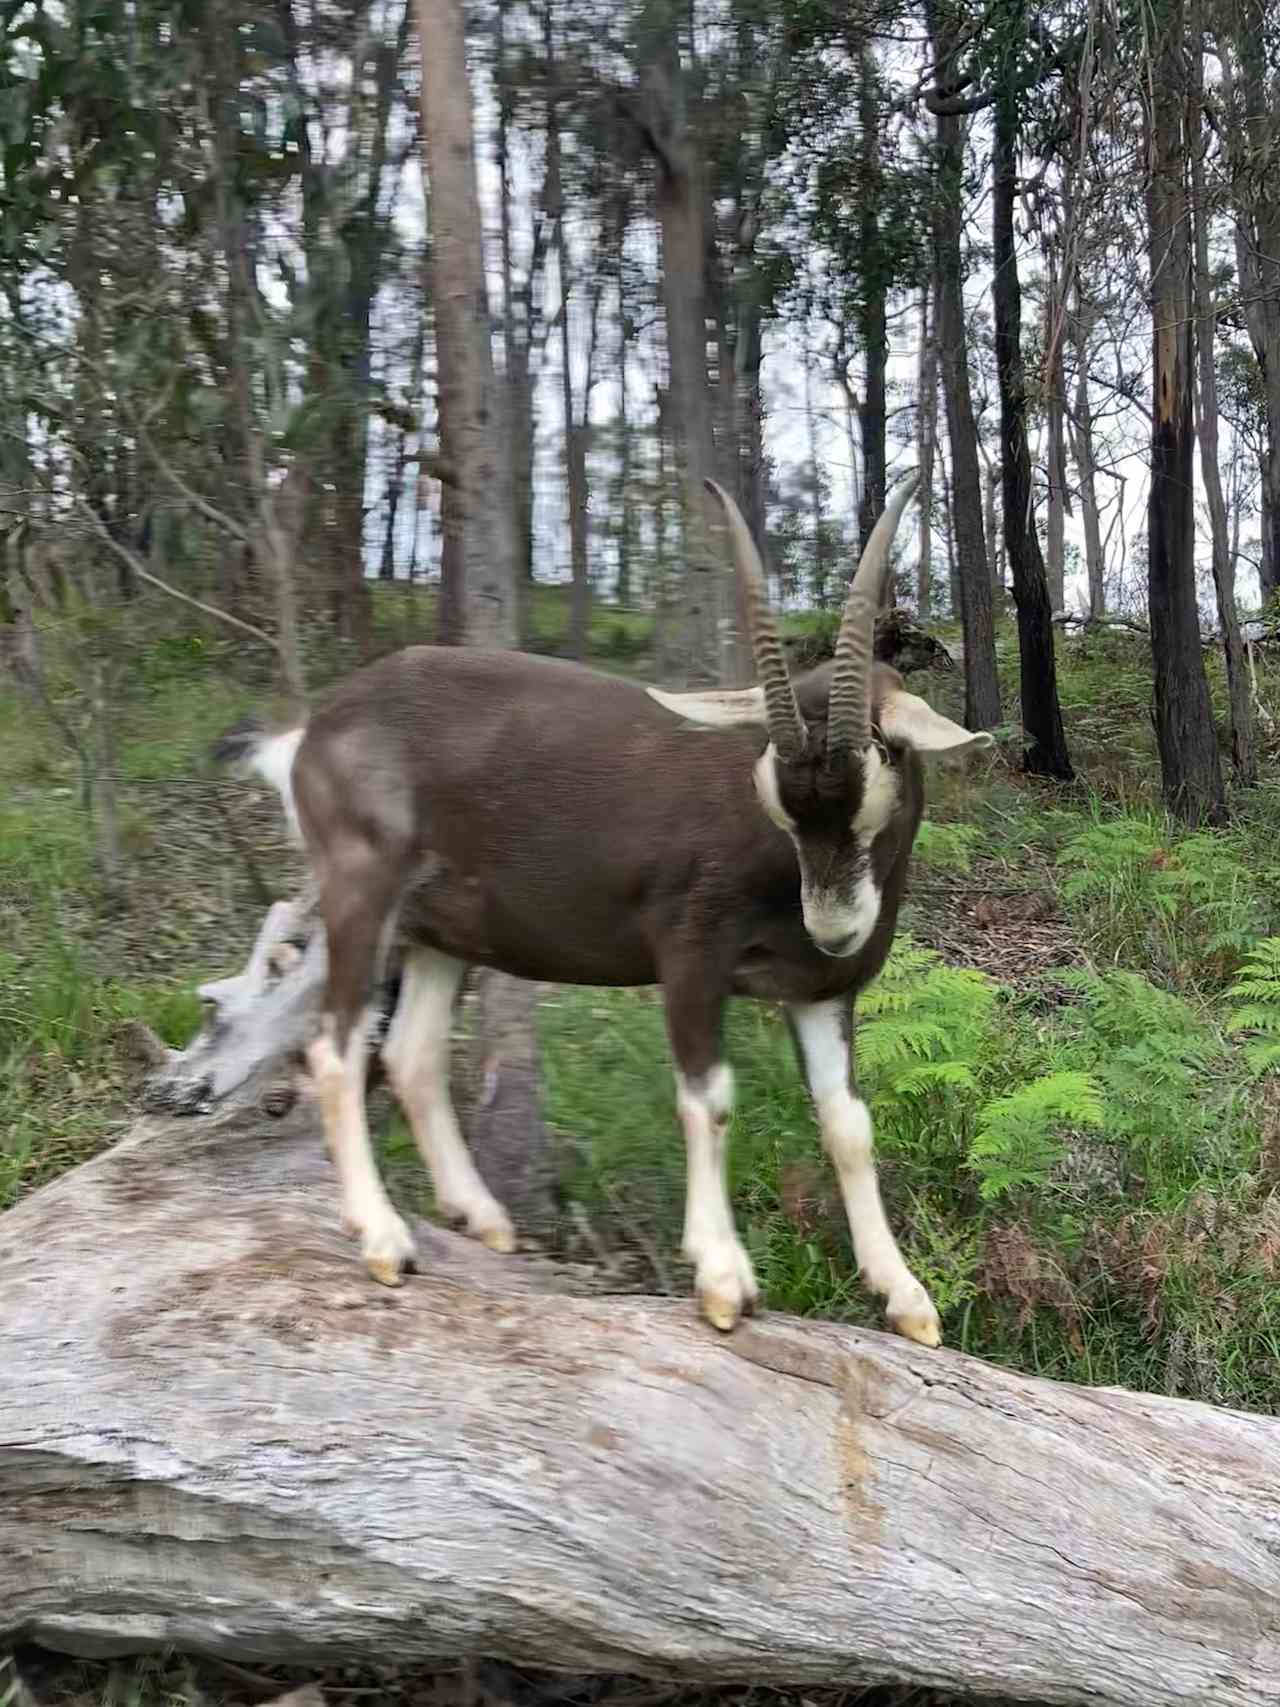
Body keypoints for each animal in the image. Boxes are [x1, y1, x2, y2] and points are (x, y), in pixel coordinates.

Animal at [223, 477, 989, 1345]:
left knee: (411, 1053)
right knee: (335, 1045)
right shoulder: (692, 959)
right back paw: (384, 1238)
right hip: (362, 892)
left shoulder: (820, 993)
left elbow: (849, 1125)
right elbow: (710, 1099)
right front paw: (723, 1277)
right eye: (778, 800)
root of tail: (311, 731)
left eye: (880, 771)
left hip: (439, 931)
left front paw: (906, 1296)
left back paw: (484, 1216)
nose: (835, 928)